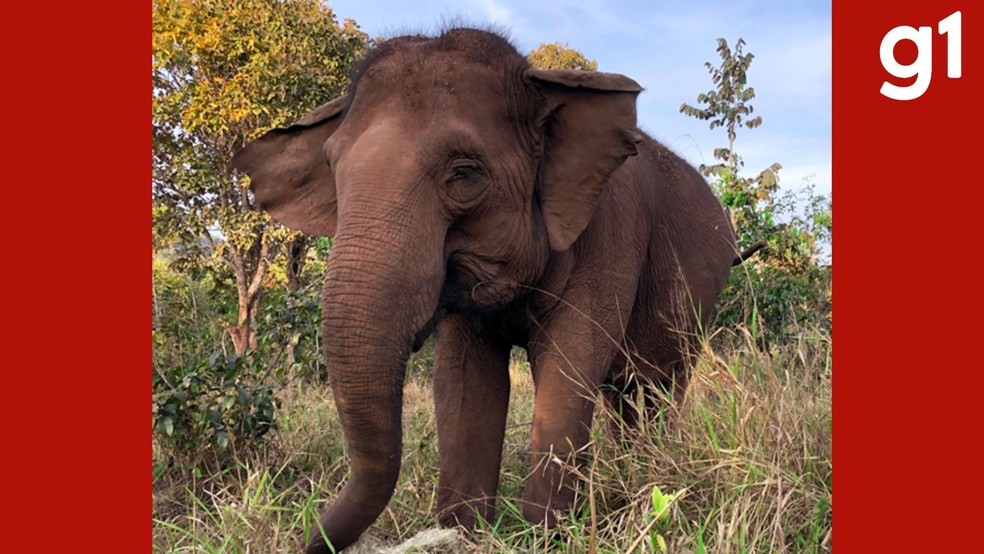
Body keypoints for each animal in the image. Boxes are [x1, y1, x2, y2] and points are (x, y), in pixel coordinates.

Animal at [233, 27, 744, 554]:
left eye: (464, 173)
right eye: (332, 170)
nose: (306, 536)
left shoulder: (613, 229)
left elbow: (570, 361)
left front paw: (544, 535)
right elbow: (464, 379)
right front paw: (464, 530)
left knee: (659, 388)